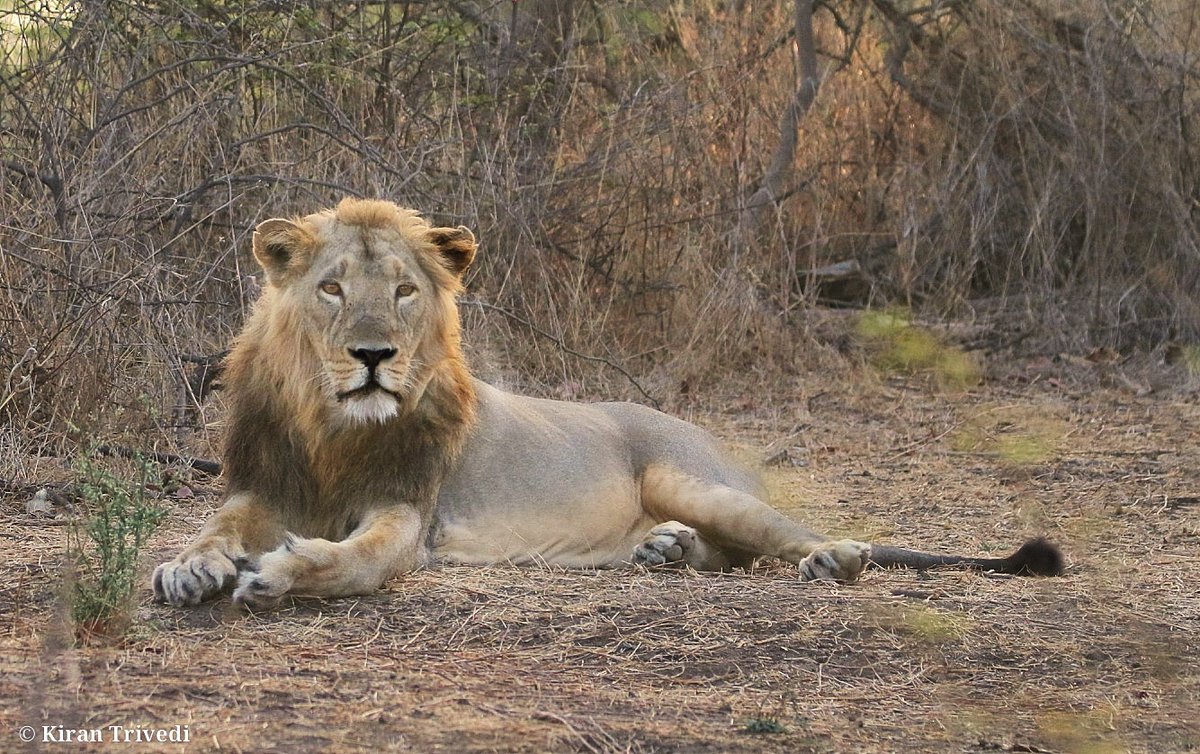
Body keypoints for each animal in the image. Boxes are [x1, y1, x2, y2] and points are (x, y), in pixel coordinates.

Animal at [150, 199, 1060, 607]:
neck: (333, 427)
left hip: (690, 477)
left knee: (797, 538)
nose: (374, 357)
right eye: (333, 288)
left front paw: (280, 571)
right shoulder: (260, 488)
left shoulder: (409, 513)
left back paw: (832, 557)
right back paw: (667, 550)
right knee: (728, 552)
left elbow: (354, 558)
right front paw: (190, 566)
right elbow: (211, 527)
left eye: (404, 291)